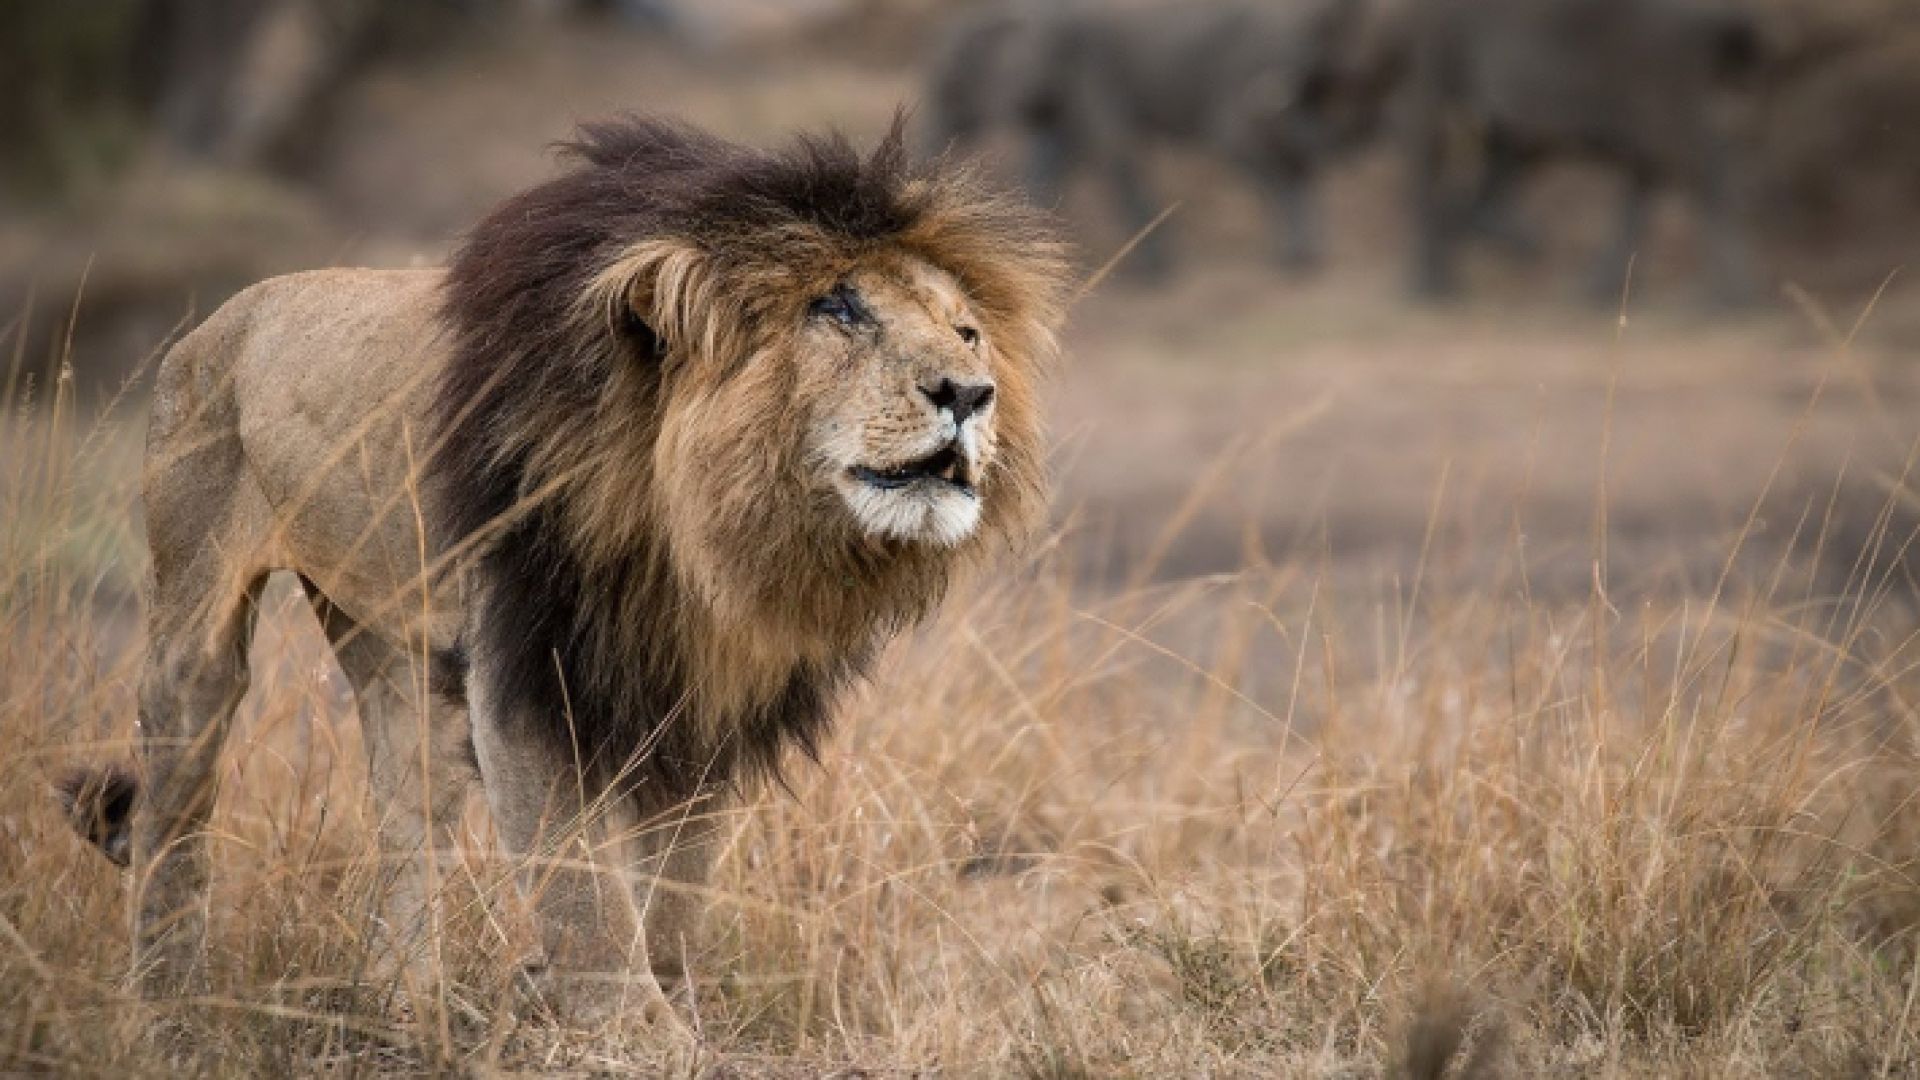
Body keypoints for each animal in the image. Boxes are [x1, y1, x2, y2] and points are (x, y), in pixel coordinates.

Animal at [58, 116, 1069, 1035]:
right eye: (840, 310)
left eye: (968, 332)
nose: (969, 394)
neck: (687, 526)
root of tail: (216, 321)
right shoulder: (524, 665)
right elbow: (579, 881)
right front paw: (635, 1032)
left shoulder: (695, 692)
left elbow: (676, 881)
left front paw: (674, 1005)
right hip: (194, 606)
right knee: (177, 805)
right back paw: (170, 1005)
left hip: (392, 646)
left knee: (408, 810)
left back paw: (405, 1005)